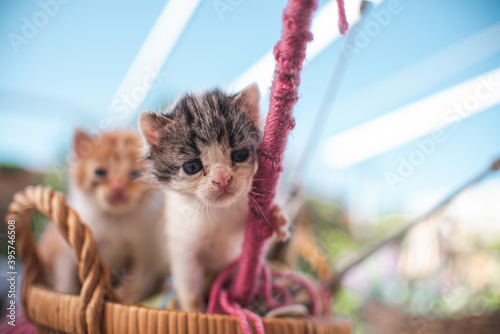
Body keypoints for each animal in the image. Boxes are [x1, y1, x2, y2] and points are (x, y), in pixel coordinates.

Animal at [38, 129, 168, 302]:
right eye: (100, 172)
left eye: (136, 174)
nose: (119, 187)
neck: (114, 218)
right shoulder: (63, 248)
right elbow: (65, 274)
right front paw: (67, 294)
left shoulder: (145, 251)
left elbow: (138, 275)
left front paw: (128, 297)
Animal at [140, 83, 290, 310]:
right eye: (192, 166)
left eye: (240, 155)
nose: (222, 179)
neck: (219, 213)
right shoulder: (182, 244)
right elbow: (187, 282)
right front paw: (195, 311)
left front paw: (274, 219)